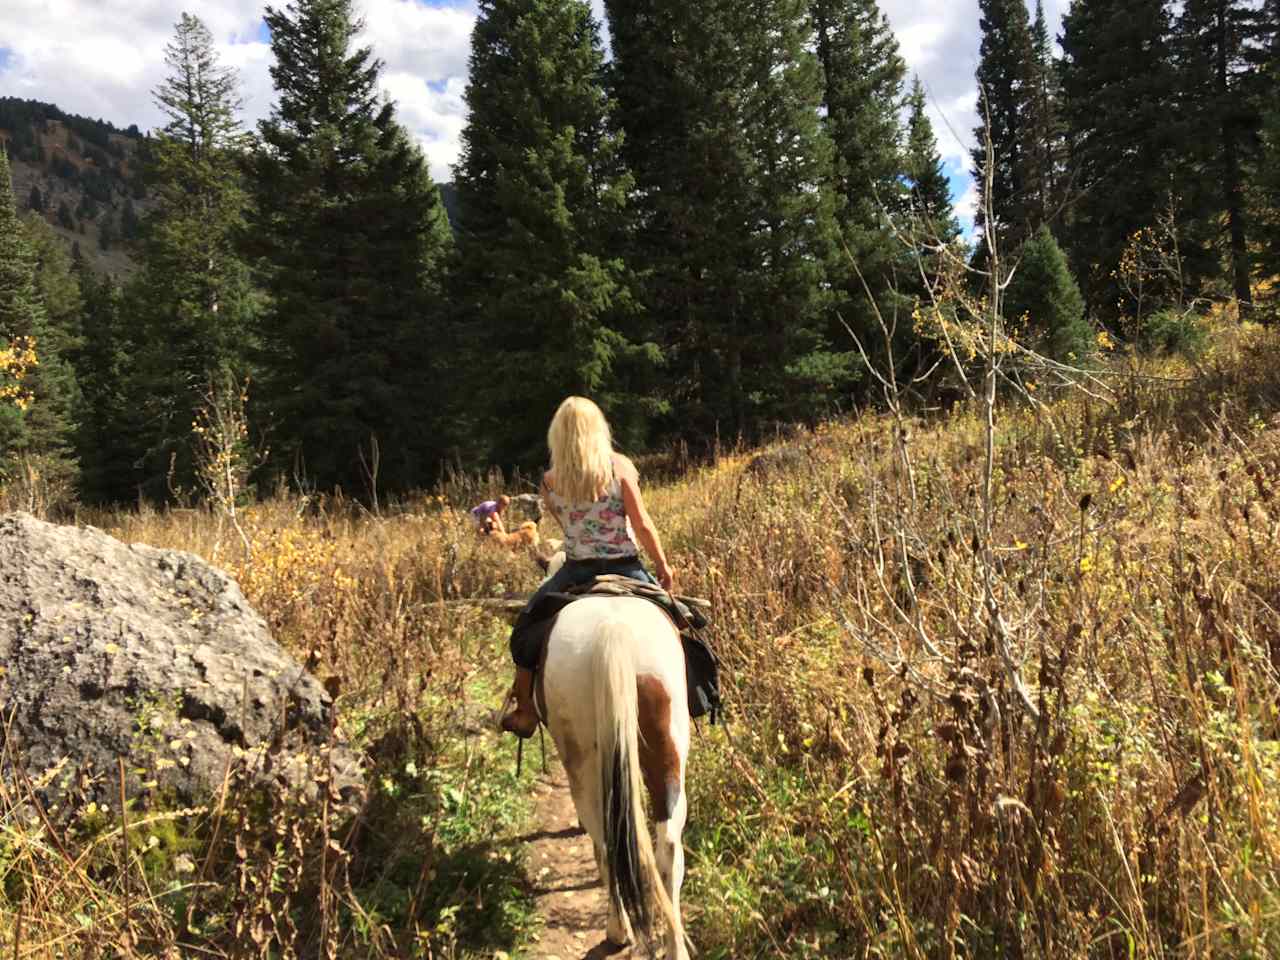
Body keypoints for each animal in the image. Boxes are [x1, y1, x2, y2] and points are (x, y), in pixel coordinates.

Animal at [542, 591, 696, 957]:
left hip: (582, 764)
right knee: (668, 846)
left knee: (604, 839)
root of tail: (613, 631)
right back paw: (675, 947)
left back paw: (617, 929)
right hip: (668, 751)